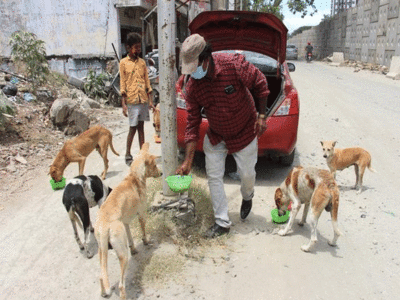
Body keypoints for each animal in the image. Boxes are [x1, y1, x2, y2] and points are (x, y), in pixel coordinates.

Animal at [94, 144, 162, 300]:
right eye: (155, 165)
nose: (162, 173)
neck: (134, 177)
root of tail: (105, 225)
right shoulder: (142, 214)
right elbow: (144, 232)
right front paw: (146, 242)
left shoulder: (125, 223)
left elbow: (131, 239)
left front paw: (135, 249)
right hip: (123, 255)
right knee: (121, 285)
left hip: (102, 250)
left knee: (101, 276)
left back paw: (103, 292)